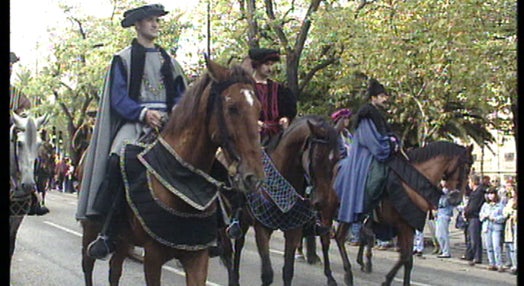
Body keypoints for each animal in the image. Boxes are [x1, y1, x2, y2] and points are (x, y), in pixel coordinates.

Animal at [80, 57, 264, 286]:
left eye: (258, 108)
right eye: (232, 107)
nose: (253, 177)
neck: (179, 181)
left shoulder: (197, 257)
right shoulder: (153, 256)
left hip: (123, 239)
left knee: (114, 270)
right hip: (91, 227)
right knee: (88, 265)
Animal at [218, 115, 338, 286]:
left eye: (337, 158)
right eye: (317, 157)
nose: (322, 201)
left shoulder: (294, 230)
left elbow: (288, 272)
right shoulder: (262, 229)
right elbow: (267, 274)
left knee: (239, 245)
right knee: (228, 251)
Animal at [330, 142, 476, 286]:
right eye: (467, 167)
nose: (457, 198)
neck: (412, 183)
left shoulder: (408, 225)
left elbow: (407, 259)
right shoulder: (403, 225)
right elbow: (405, 257)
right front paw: (387, 279)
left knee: (352, 235)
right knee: (339, 236)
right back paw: (346, 274)